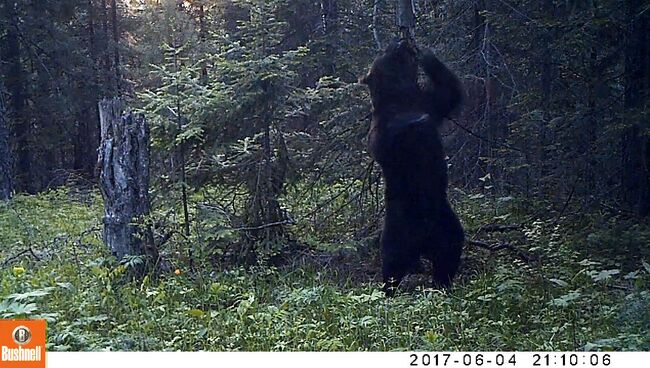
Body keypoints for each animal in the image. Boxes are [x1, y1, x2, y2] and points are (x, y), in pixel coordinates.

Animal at [360, 41, 460, 296]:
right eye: (386, 51)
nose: (402, 41)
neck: (401, 96)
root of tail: (422, 244)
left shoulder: (428, 102)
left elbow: (450, 93)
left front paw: (427, 55)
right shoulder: (383, 129)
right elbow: (386, 139)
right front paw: (414, 121)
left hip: (445, 222)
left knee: (451, 249)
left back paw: (443, 283)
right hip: (398, 225)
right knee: (391, 261)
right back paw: (388, 290)